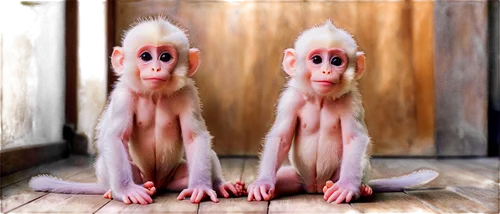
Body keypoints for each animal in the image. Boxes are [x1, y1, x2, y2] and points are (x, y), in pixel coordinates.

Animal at [28, 15, 245, 205]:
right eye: (146, 56)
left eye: (165, 57)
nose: (156, 69)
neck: (155, 95)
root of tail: (158, 182)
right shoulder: (123, 96)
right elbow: (115, 138)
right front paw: (126, 190)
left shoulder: (188, 94)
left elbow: (195, 138)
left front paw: (201, 187)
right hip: (133, 177)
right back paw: (115, 190)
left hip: (173, 178)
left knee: (208, 155)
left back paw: (220, 185)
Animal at [246, 20, 438, 204]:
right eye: (317, 59)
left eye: (336, 61)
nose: (326, 71)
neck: (321, 99)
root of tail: (314, 187)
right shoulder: (290, 100)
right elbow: (281, 137)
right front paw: (263, 182)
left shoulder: (351, 102)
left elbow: (354, 139)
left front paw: (347, 187)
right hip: (298, 176)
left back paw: (362, 189)